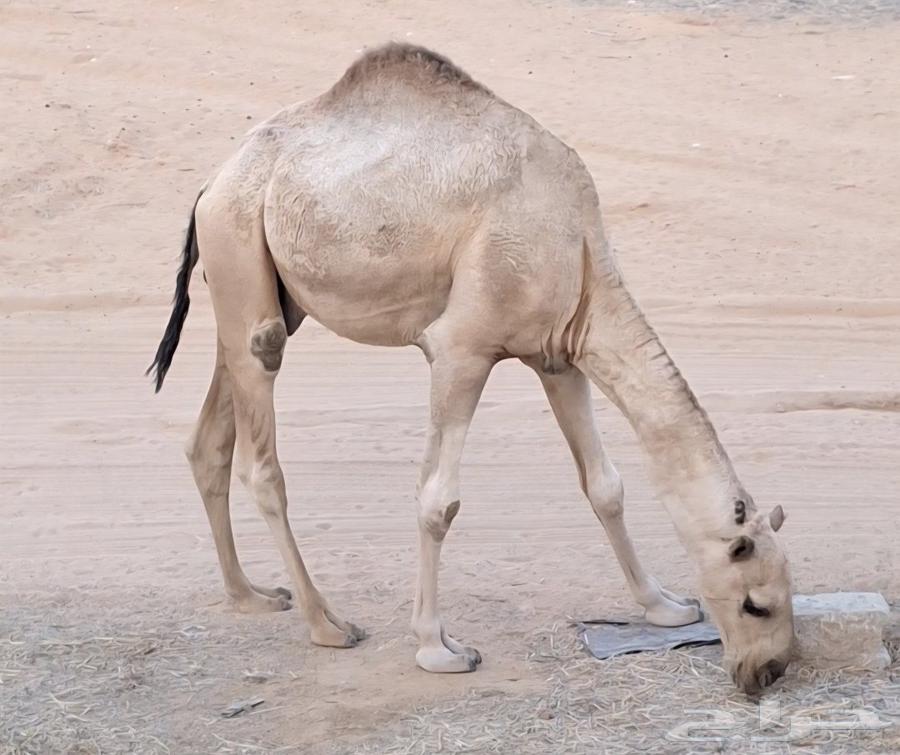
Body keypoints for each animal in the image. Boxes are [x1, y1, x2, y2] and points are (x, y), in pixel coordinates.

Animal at [149, 43, 793, 695]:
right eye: (756, 604)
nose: (768, 671)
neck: (576, 247)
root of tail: (210, 184)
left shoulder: (560, 352)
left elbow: (604, 484)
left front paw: (664, 606)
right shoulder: (461, 347)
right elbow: (439, 500)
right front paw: (438, 648)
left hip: (263, 287)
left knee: (213, 434)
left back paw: (250, 595)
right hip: (239, 243)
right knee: (263, 444)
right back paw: (327, 623)